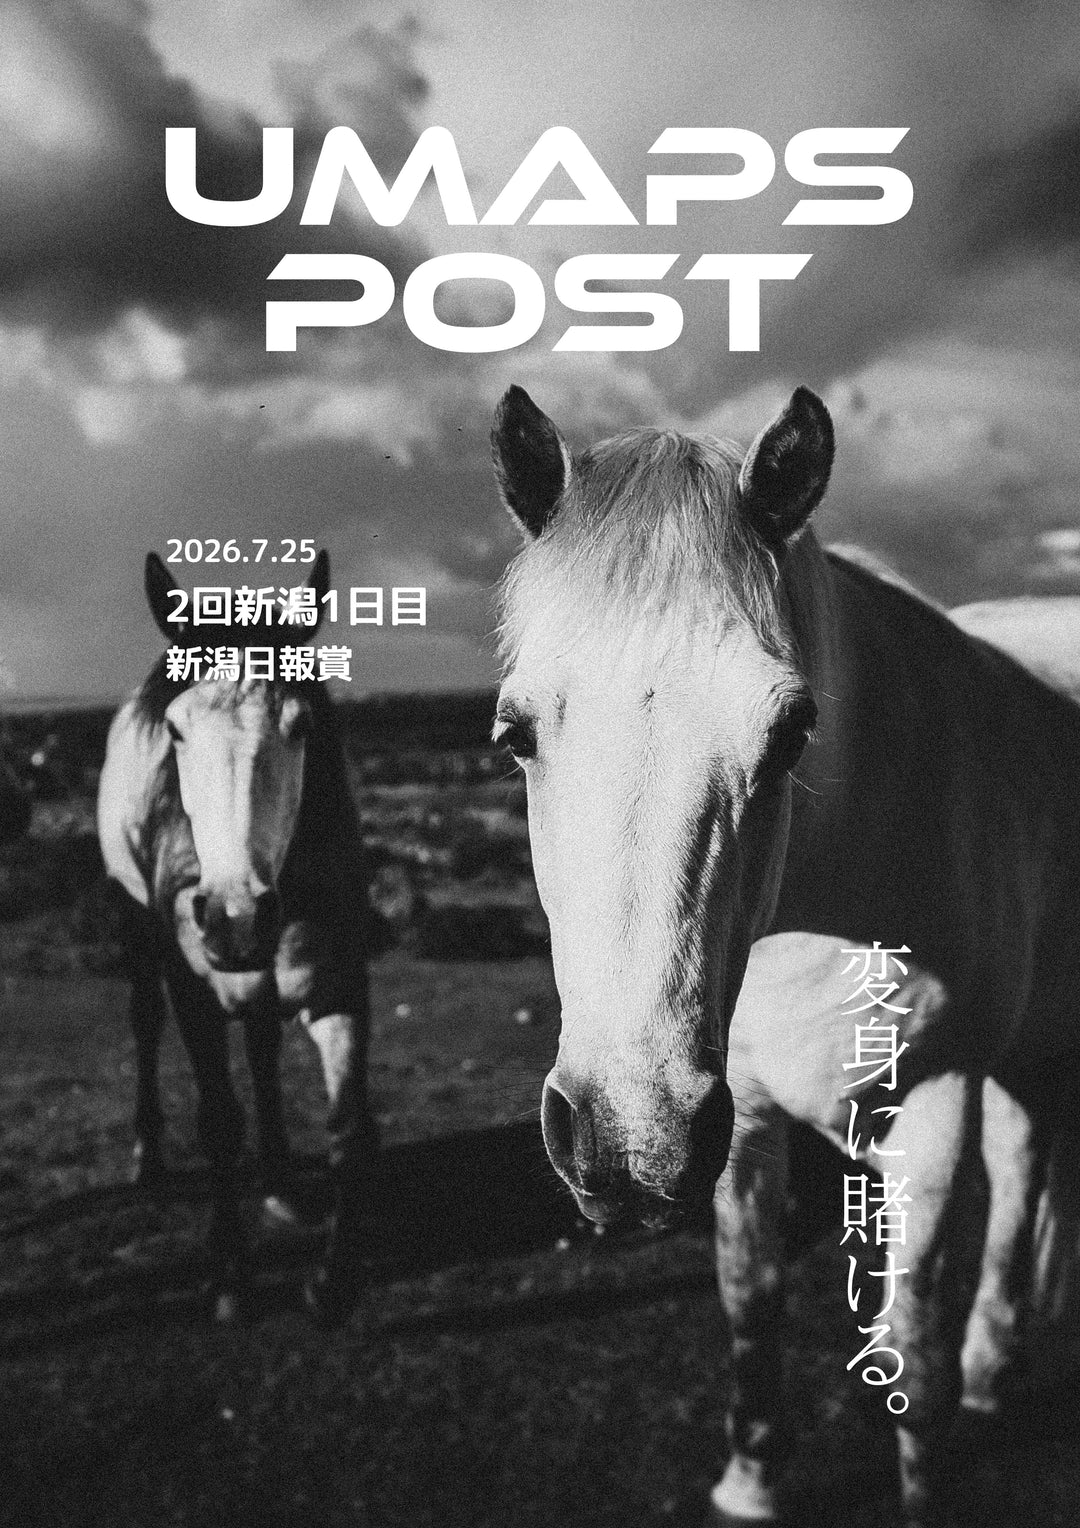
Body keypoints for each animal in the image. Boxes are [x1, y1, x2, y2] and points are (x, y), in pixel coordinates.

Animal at [97, 551, 376, 1323]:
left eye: (300, 725)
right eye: (177, 730)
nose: (233, 916)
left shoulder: (341, 983)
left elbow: (350, 1126)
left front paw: (334, 1280)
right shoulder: (193, 991)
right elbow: (219, 1122)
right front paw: (229, 1279)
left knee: (260, 1039)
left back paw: (280, 1181)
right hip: (136, 928)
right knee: (143, 1019)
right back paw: (150, 1159)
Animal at [490, 382, 1080, 1528]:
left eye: (794, 731)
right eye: (516, 733)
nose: (627, 1139)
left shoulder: (933, 1102)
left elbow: (913, 1355)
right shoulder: (744, 1116)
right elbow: (749, 1299)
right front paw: (753, 1476)